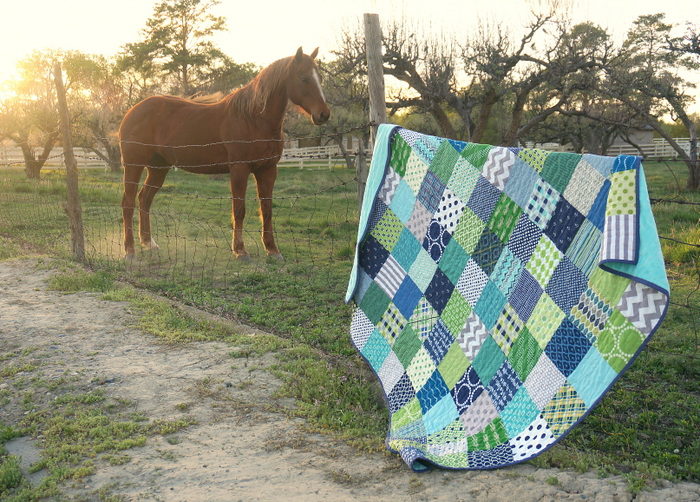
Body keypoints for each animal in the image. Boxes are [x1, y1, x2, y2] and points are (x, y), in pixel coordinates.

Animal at [118, 46, 330, 262]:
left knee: (144, 199)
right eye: (303, 77)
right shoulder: (239, 170)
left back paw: (148, 243)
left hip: (158, 168)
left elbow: (267, 210)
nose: (323, 114)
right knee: (128, 202)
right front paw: (240, 250)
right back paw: (130, 250)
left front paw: (272, 250)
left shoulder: (268, 170)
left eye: (320, 77)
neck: (252, 119)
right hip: (134, 166)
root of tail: (132, 112)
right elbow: (239, 210)